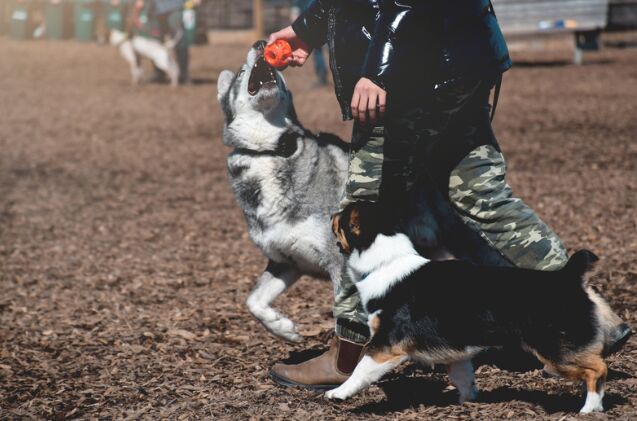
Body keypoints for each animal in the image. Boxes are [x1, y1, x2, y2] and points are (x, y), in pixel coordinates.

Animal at [217, 40, 350, 342]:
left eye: (279, 76)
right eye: (241, 73)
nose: (260, 43)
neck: (269, 150)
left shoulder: (340, 264)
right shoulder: (287, 262)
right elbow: (253, 301)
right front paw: (283, 329)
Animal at [328, 201, 612, 414]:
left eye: (341, 218)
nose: (331, 213)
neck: (385, 262)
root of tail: (568, 277)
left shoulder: (385, 345)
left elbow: (360, 371)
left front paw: (337, 394)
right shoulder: (456, 351)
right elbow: (463, 378)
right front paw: (467, 403)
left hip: (554, 348)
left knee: (598, 369)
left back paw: (589, 409)